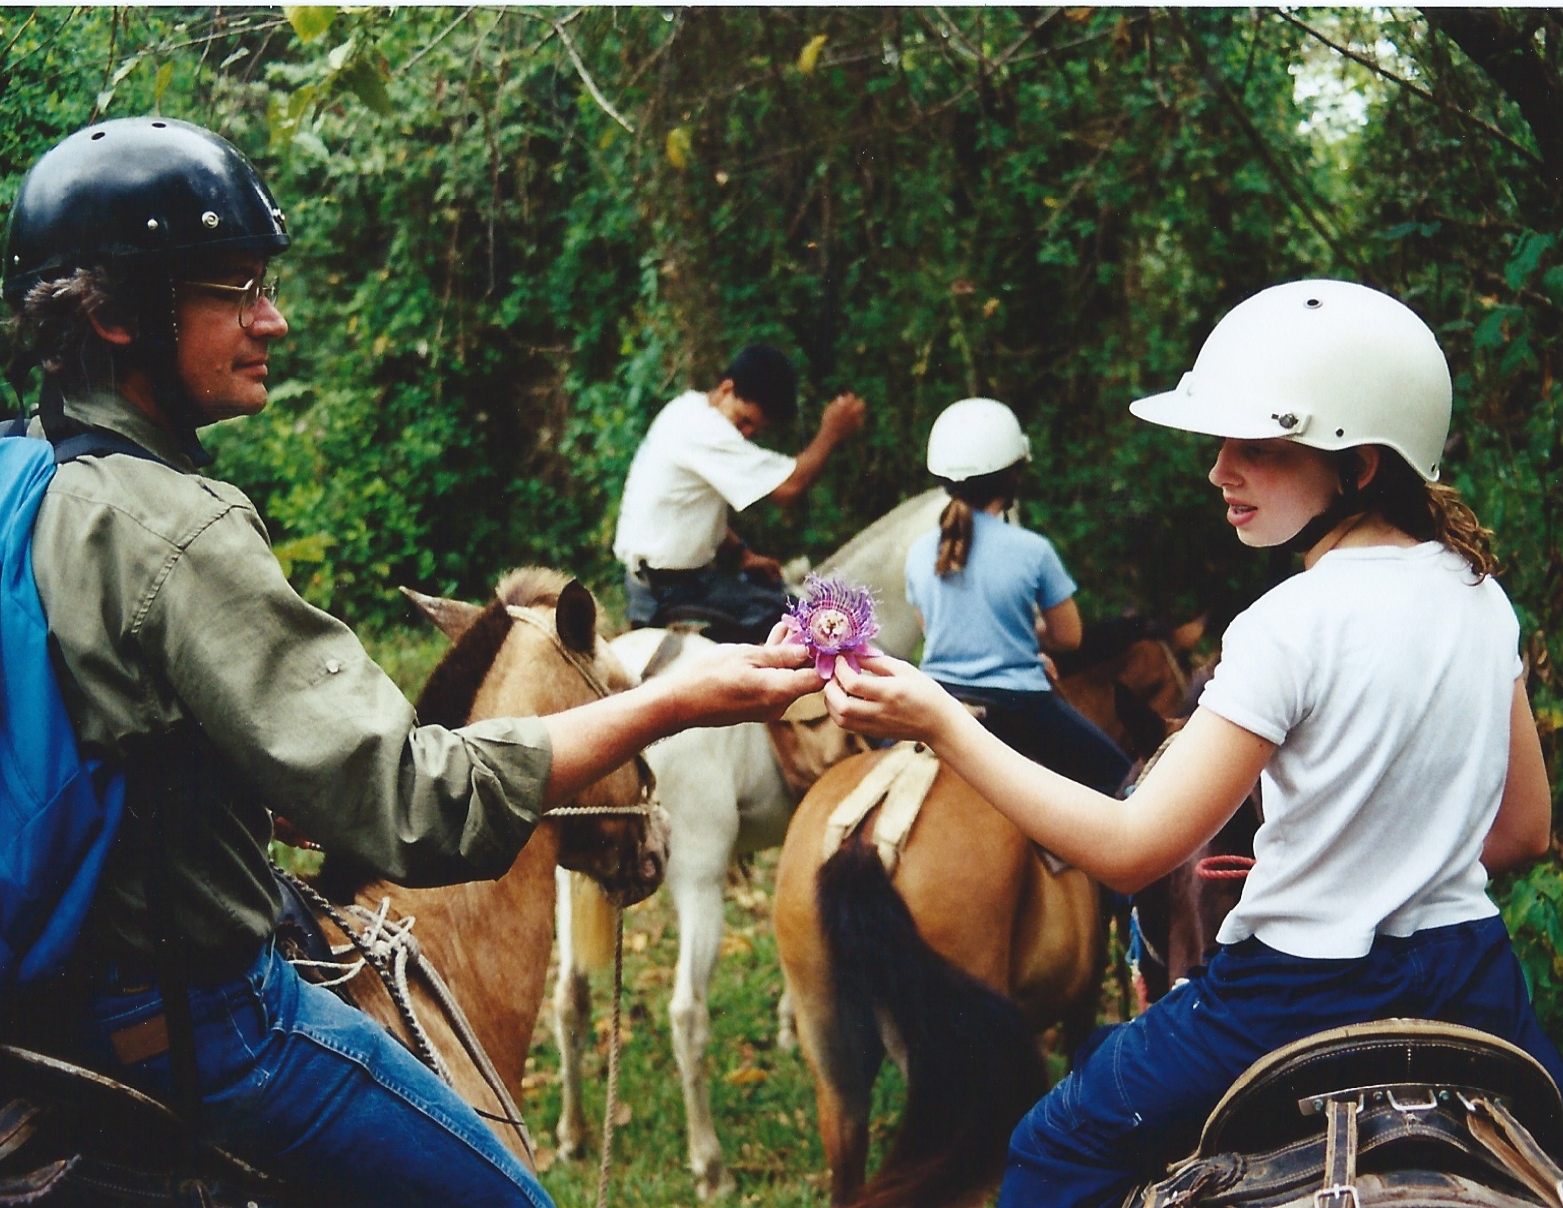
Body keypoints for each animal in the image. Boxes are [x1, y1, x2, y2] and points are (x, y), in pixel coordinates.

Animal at [551, 625, 867, 1199]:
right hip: (700, 883)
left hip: (569, 881)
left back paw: (572, 1134)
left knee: (569, 999)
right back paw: (711, 1165)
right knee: (687, 1014)